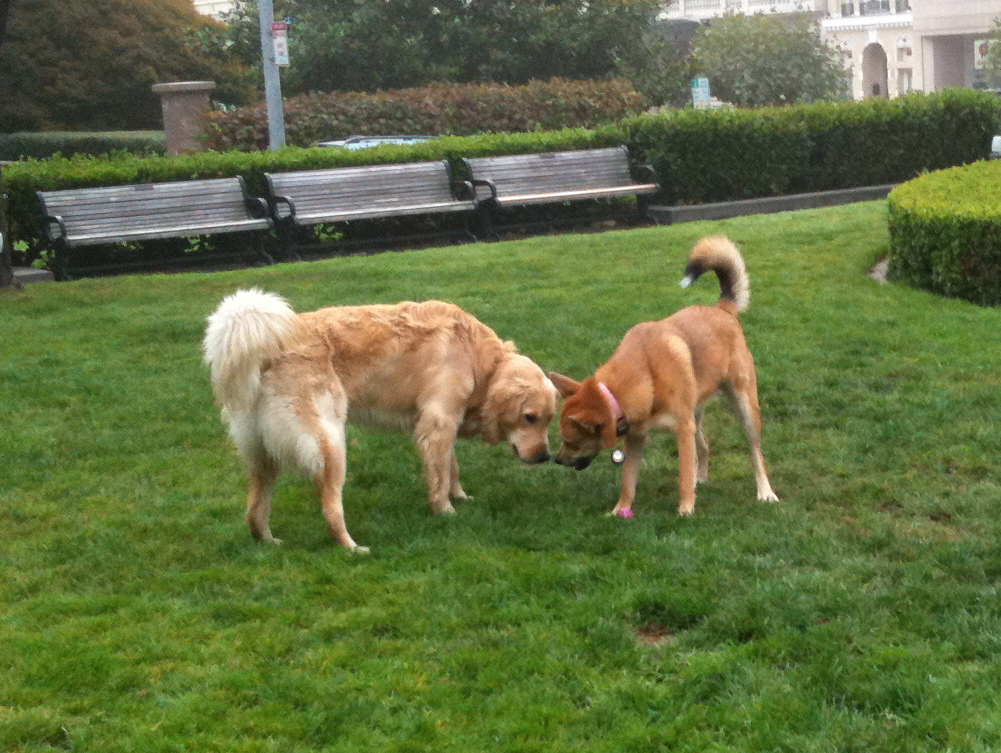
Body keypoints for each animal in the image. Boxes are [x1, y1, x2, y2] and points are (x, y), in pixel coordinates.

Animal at [204, 290, 560, 548]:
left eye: (548, 420)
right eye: (530, 418)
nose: (545, 457)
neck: (477, 358)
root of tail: (266, 347)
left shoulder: (443, 424)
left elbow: (450, 467)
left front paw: (460, 496)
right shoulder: (438, 423)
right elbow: (440, 475)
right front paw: (445, 510)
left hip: (264, 454)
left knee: (254, 510)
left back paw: (267, 541)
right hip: (331, 444)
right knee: (331, 507)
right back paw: (351, 546)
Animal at [552, 236, 776, 516]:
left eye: (570, 441)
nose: (557, 459)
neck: (644, 376)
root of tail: (722, 309)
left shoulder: (681, 429)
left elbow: (683, 475)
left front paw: (685, 510)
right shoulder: (636, 438)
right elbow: (628, 480)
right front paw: (619, 510)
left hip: (743, 408)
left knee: (755, 453)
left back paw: (765, 492)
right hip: (695, 414)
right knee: (704, 445)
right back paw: (701, 478)